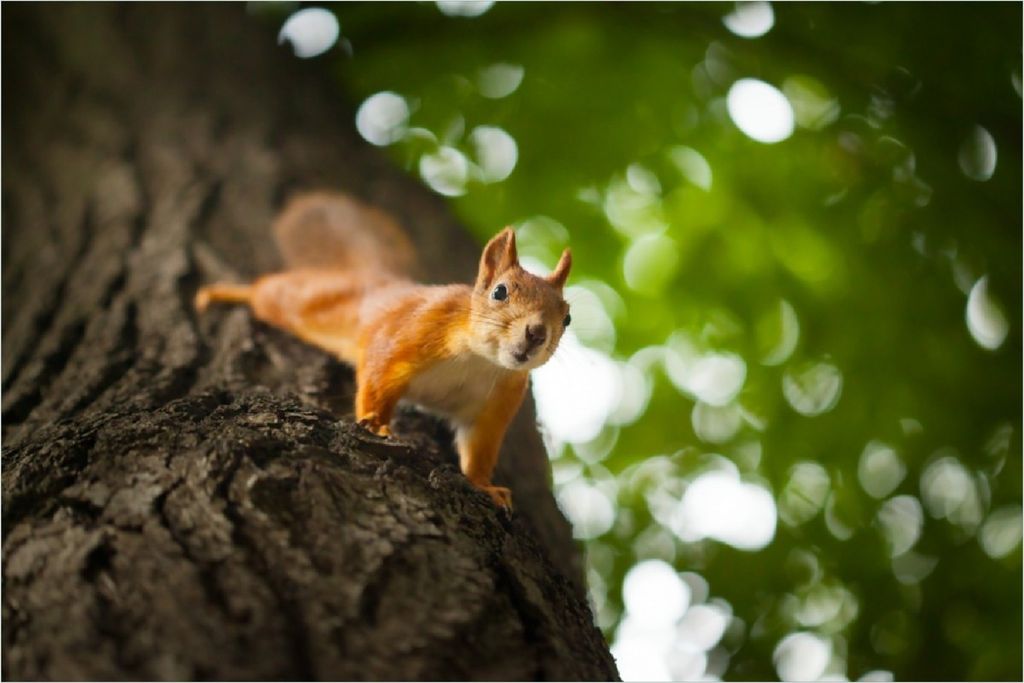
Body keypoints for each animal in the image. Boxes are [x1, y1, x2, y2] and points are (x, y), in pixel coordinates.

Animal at [195, 192, 572, 509]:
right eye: (500, 292)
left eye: (567, 318)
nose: (536, 333)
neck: (480, 361)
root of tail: (377, 280)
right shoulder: (404, 337)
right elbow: (377, 380)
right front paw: (376, 426)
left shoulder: (494, 405)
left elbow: (478, 450)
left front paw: (484, 485)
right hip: (300, 300)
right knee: (265, 291)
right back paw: (223, 292)